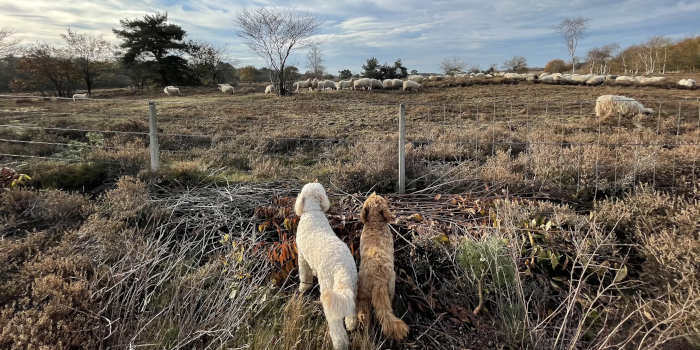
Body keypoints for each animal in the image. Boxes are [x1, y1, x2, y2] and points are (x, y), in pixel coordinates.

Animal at [296, 183, 358, 350]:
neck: (313, 211)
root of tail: (341, 268)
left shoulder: (302, 256)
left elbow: (304, 274)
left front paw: (303, 287)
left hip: (328, 289)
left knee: (335, 324)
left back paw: (340, 343)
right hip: (351, 287)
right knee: (351, 309)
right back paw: (352, 325)